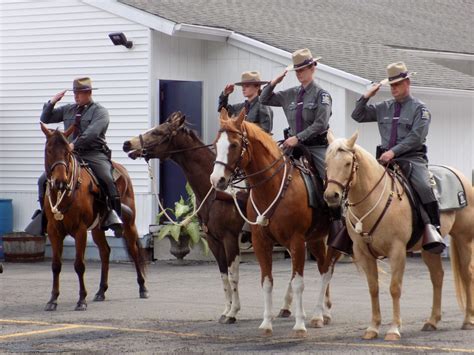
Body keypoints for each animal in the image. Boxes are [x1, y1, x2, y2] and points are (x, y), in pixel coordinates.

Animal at [39, 123, 147, 312]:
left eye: (67, 152)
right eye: (48, 150)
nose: (60, 182)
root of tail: (122, 170)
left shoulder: (80, 230)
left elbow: (79, 265)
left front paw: (81, 300)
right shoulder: (54, 231)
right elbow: (56, 265)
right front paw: (53, 300)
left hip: (129, 224)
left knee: (134, 252)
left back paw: (142, 288)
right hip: (97, 229)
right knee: (105, 252)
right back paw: (101, 291)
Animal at [209, 108, 338, 336]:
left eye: (234, 145)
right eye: (216, 144)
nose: (217, 180)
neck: (273, 186)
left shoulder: (296, 242)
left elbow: (297, 283)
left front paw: (299, 324)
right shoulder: (261, 241)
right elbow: (267, 282)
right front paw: (266, 323)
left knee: (327, 271)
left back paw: (317, 315)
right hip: (315, 239)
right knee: (324, 268)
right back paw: (323, 313)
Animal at [324, 132, 472, 340]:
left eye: (347, 163)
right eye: (327, 162)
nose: (331, 196)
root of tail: (459, 175)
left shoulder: (397, 251)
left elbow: (394, 288)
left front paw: (394, 329)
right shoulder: (363, 253)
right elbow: (373, 288)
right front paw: (373, 328)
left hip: (463, 238)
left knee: (467, 274)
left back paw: (468, 320)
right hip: (429, 249)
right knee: (437, 277)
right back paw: (432, 321)